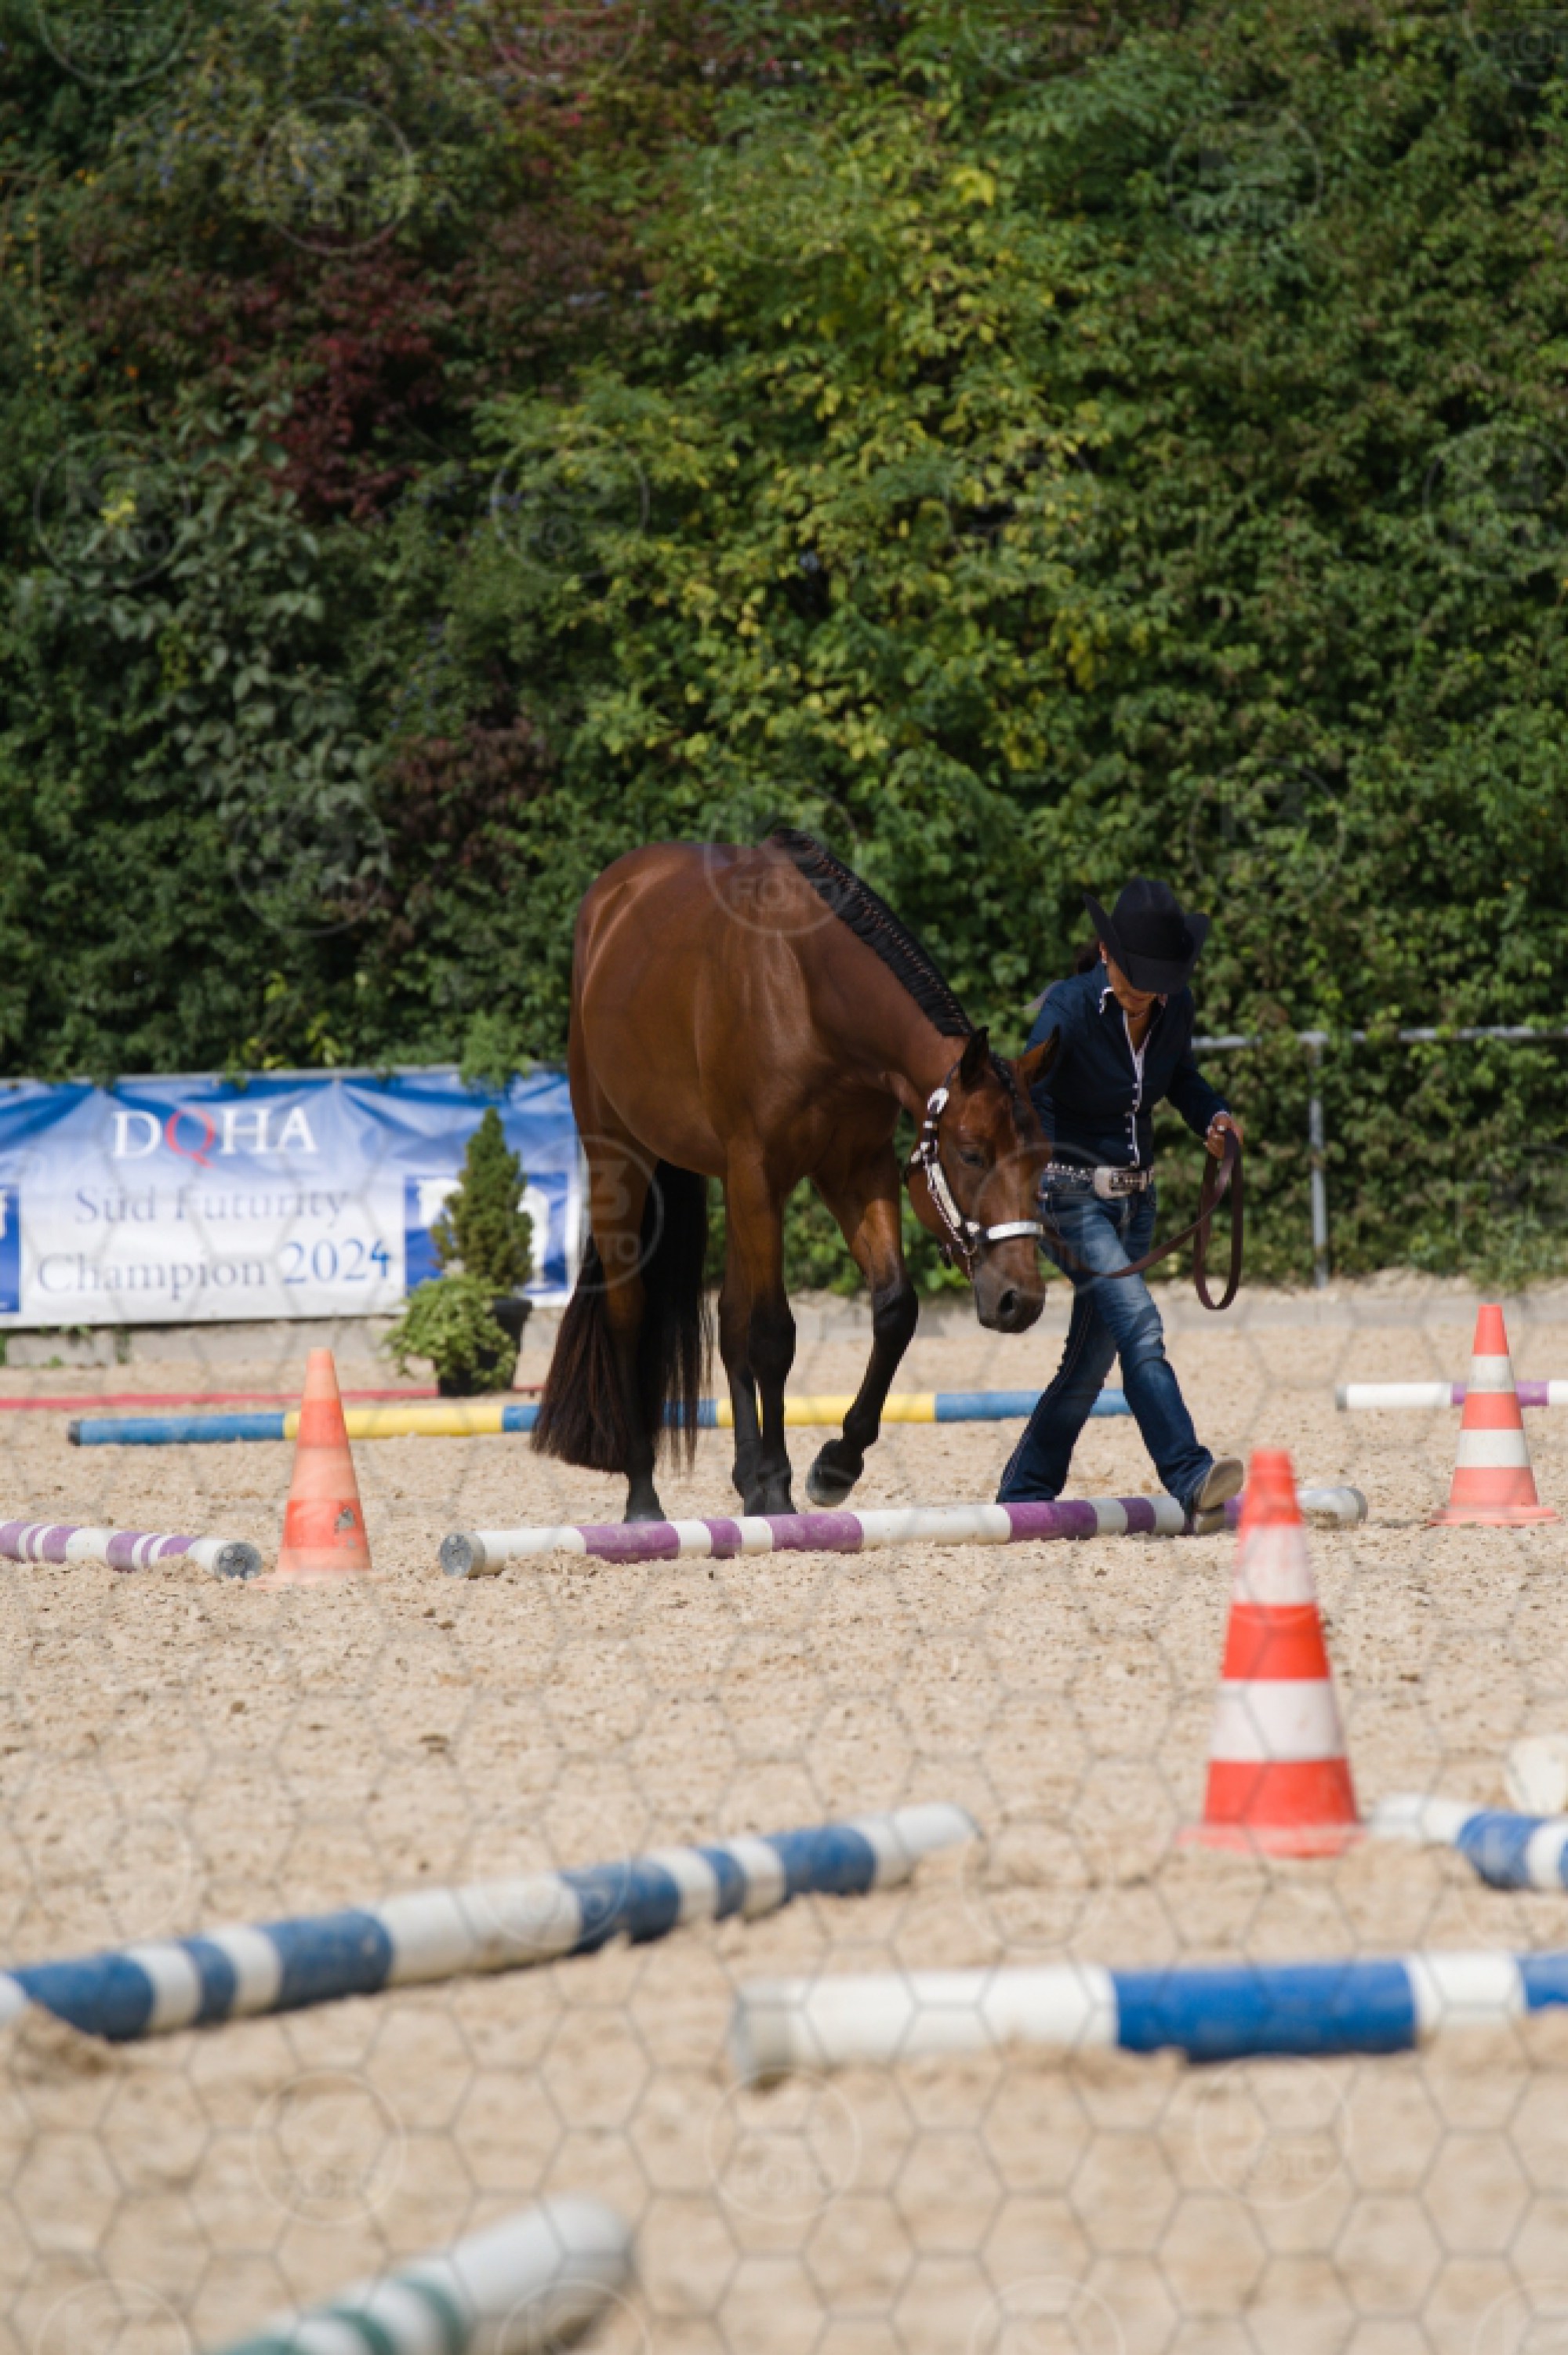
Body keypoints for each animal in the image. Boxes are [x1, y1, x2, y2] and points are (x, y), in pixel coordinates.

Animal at [533, 830, 1059, 1523]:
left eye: (1043, 1157)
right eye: (971, 1153)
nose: (1020, 1300)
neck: (809, 992)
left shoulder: (854, 1169)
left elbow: (894, 1309)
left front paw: (835, 1462)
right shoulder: (760, 1172)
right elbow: (773, 1334)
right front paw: (782, 1483)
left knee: (728, 1316)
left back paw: (746, 1479)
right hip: (622, 1160)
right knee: (630, 1311)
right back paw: (645, 1495)